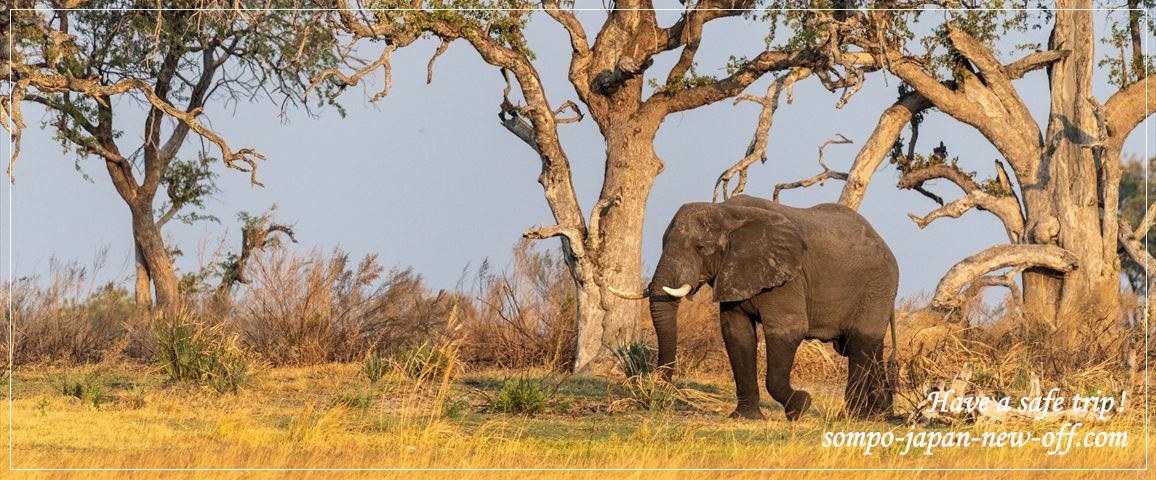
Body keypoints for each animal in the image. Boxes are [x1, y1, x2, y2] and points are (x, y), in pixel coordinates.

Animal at [610, 195, 897, 421]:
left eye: (701, 248)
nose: (656, 393)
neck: (726, 212)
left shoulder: (788, 277)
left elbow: (787, 329)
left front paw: (801, 406)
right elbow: (737, 333)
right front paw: (744, 417)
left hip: (878, 285)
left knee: (861, 342)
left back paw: (850, 417)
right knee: (868, 346)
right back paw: (876, 417)